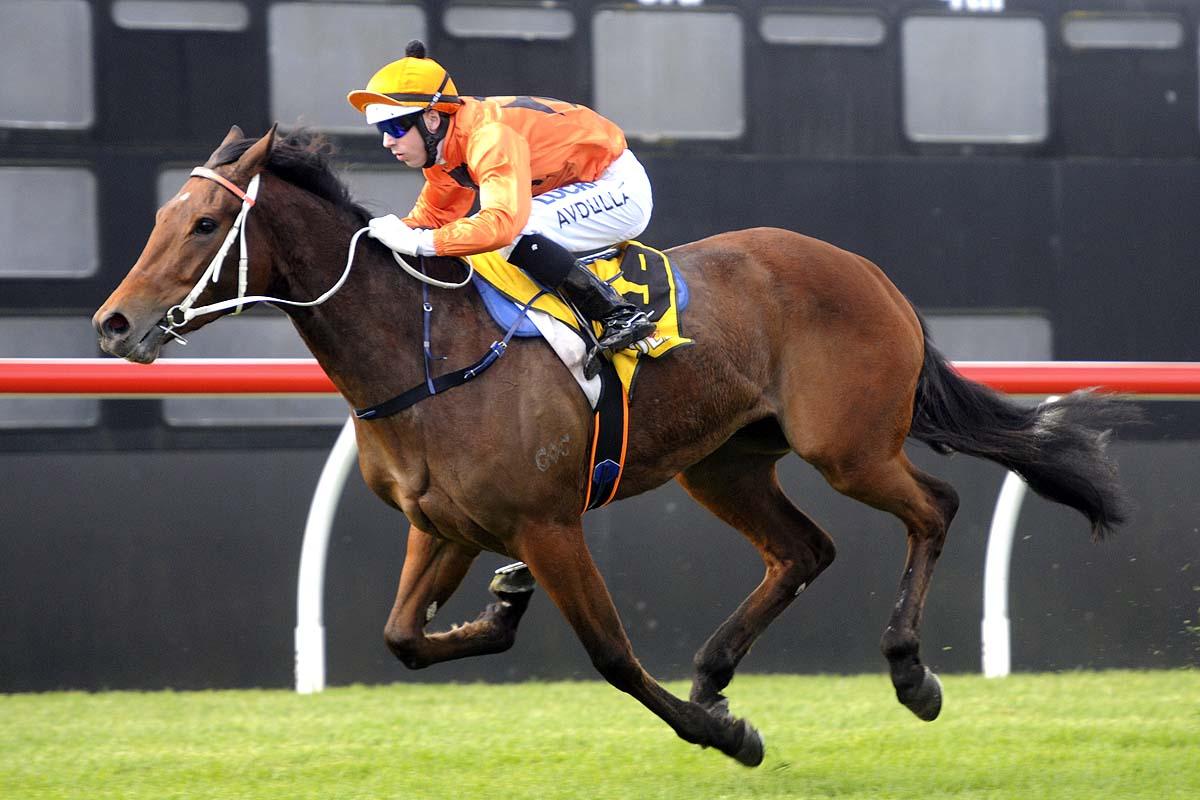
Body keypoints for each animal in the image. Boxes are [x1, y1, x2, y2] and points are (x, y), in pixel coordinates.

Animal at [93, 126, 1133, 766]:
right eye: (159, 218)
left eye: (202, 224)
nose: (113, 325)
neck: (424, 352)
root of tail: (869, 270)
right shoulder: (445, 526)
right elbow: (403, 639)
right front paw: (504, 607)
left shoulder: (550, 524)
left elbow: (613, 658)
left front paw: (728, 738)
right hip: (724, 463)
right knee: (805, 550)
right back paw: (716, 671)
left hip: (848, 446)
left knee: (934, 508)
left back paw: (909, 671)